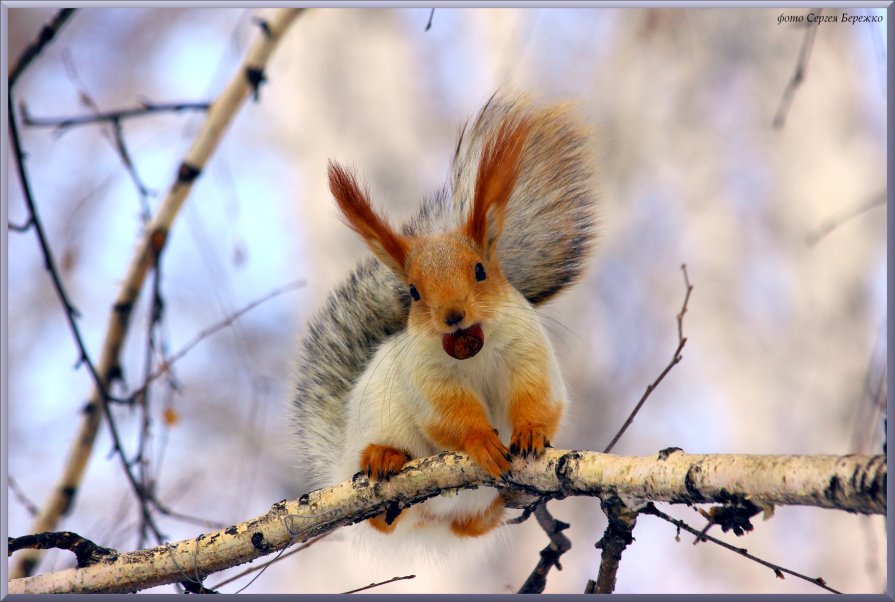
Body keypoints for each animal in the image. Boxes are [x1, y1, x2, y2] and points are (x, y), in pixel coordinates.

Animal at [290, 94, 600, 548]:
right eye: (414, 292)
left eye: (480, 271)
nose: (453, 316)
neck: (473, 348)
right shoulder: (428, 378)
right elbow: (449, 417)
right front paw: (482, 443)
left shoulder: (529, 352)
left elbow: (539, 399)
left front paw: (529, 431)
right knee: (384, 518)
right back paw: (383, 456)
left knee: (471, 525)